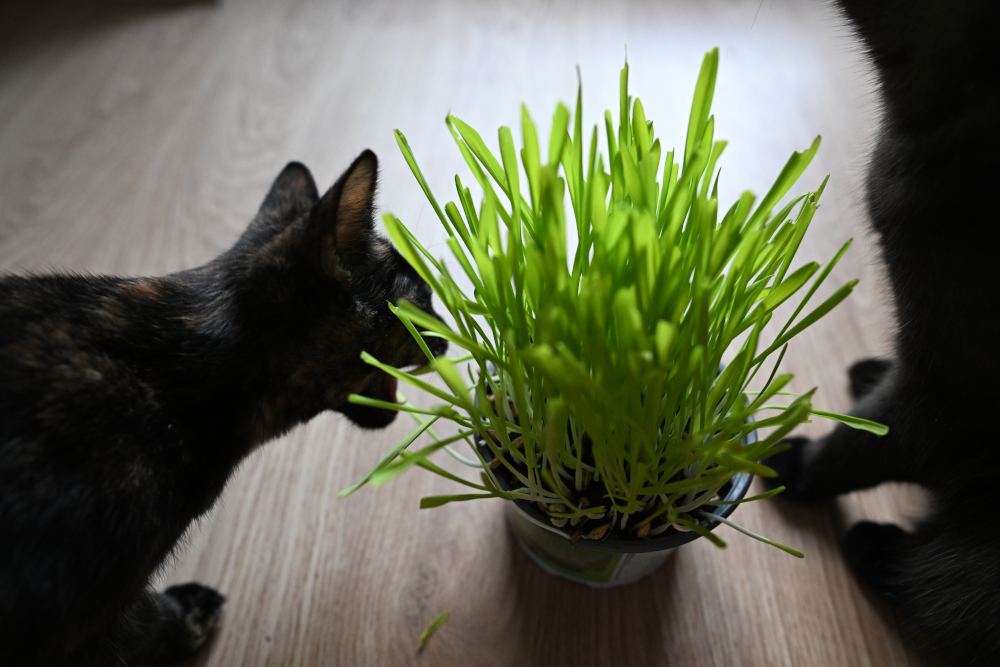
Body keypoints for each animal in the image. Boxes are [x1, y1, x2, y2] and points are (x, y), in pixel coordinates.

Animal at [0, 151, 446, 667]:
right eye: (421, 299)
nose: (450, 333)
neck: (178, 382)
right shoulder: (92, 611)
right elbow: (143, 624)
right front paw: (187, 618)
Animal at [764, 1, 1000, 664]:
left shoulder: (950, 397)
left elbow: (865, 445)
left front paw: (794, 462)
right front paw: (871, 373)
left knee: (945, 592)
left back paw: (877, 547)